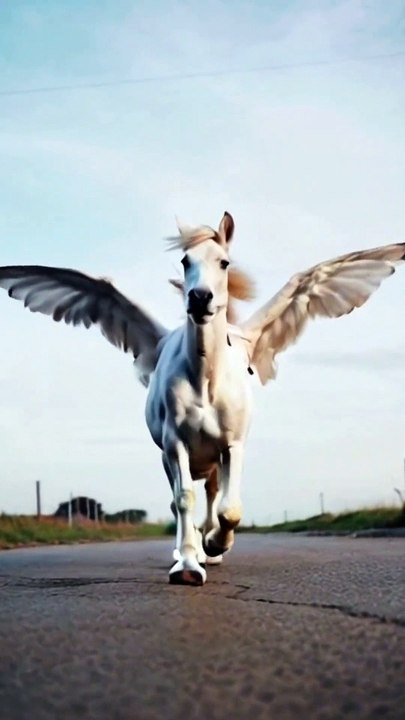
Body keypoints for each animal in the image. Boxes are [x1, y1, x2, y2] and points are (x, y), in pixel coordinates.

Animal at [0, 211, 404, 585]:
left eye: (224, 262)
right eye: (184, 261)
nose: (200, 298)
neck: (205, 379)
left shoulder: (232, 445)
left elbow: (229, 509)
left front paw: (215, 545)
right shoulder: (175, 444)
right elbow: (183, 501)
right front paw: (189, 565)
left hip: (213, 459)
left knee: (213, 495)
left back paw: (212, 547)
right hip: (172, 458)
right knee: (182, 500)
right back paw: (188, 551)